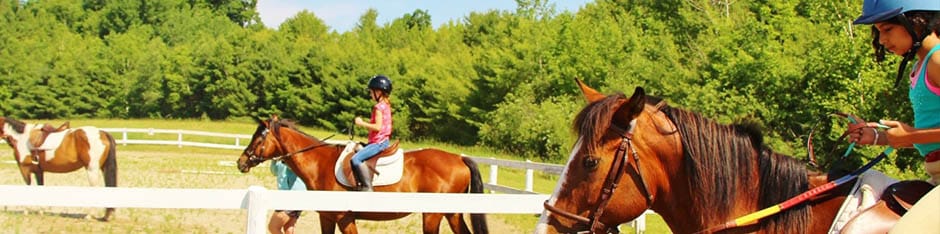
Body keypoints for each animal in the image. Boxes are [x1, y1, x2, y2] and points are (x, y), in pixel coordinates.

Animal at [235, 116, 488, 233]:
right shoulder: (327, 217)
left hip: (433, 215)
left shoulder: (344, 218)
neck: (320, 162)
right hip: (452, 213)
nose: (241, 162)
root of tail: (459, 158)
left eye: (258, 138)